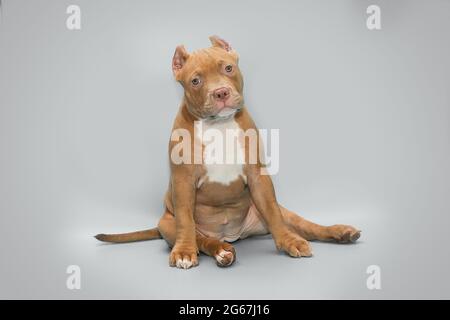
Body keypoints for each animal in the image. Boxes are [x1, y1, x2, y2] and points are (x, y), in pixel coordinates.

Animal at [96, 36, 362, 268]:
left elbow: (273, 214)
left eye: (228, 68)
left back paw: (340, 232)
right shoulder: (182, 182)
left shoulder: (258, 176)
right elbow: (186, 220)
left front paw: (289, 242)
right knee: (201, 238)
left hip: (274, 212)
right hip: (167, 223)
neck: (219, 125)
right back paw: (222, 252)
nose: (221, 92)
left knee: (300, 223)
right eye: (195, 81)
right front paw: (184, 252)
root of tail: (231, 235)